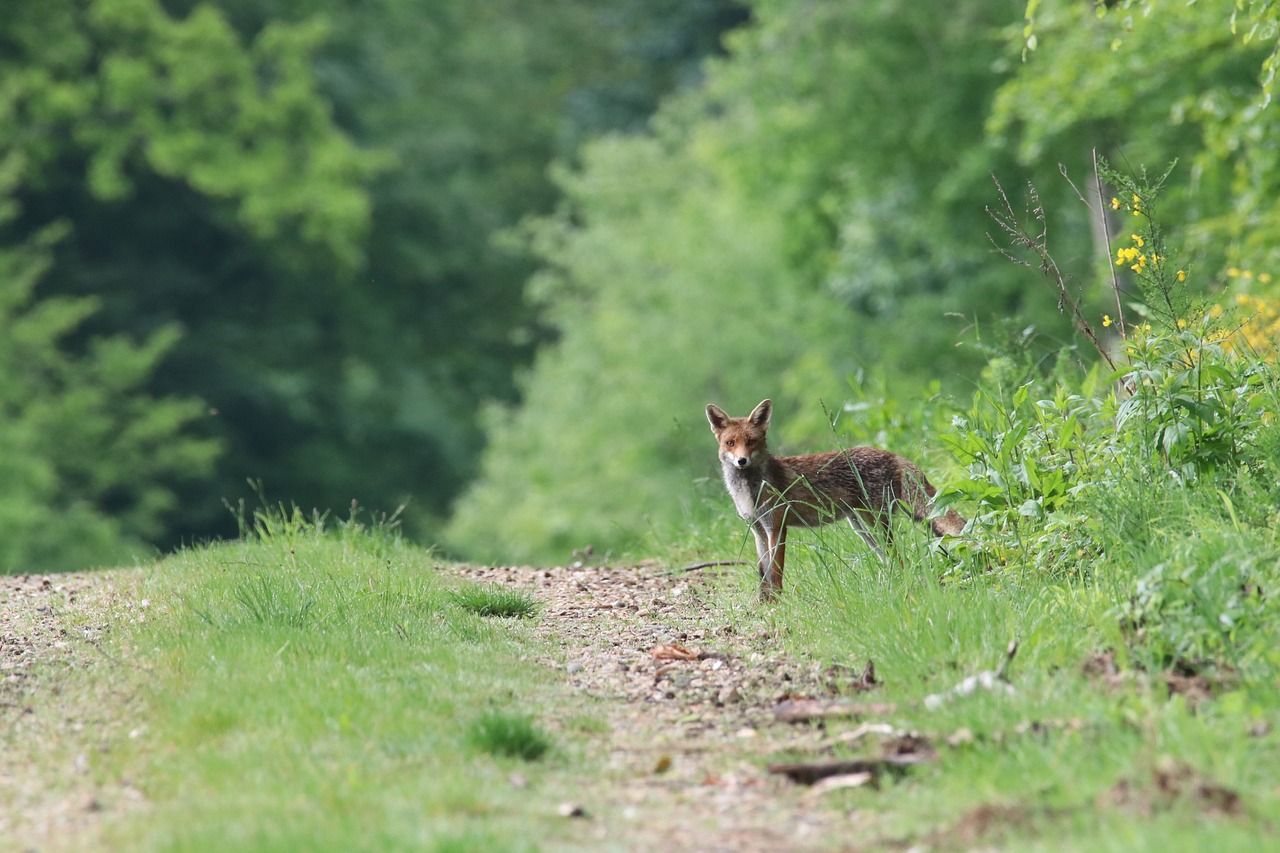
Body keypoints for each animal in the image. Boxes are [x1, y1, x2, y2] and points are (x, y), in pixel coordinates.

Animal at [706, 399, 962, 594]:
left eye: (751, 442)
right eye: (730, 443)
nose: (742, 461)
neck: (749, 490)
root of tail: (892, 454)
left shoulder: (777, 527)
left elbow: (776, 575)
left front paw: (778, 605)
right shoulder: (758, 530)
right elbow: (763, 575)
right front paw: (764, 604)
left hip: (875, 523)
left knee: (899, 558)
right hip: (862, 528)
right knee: (891, 559)